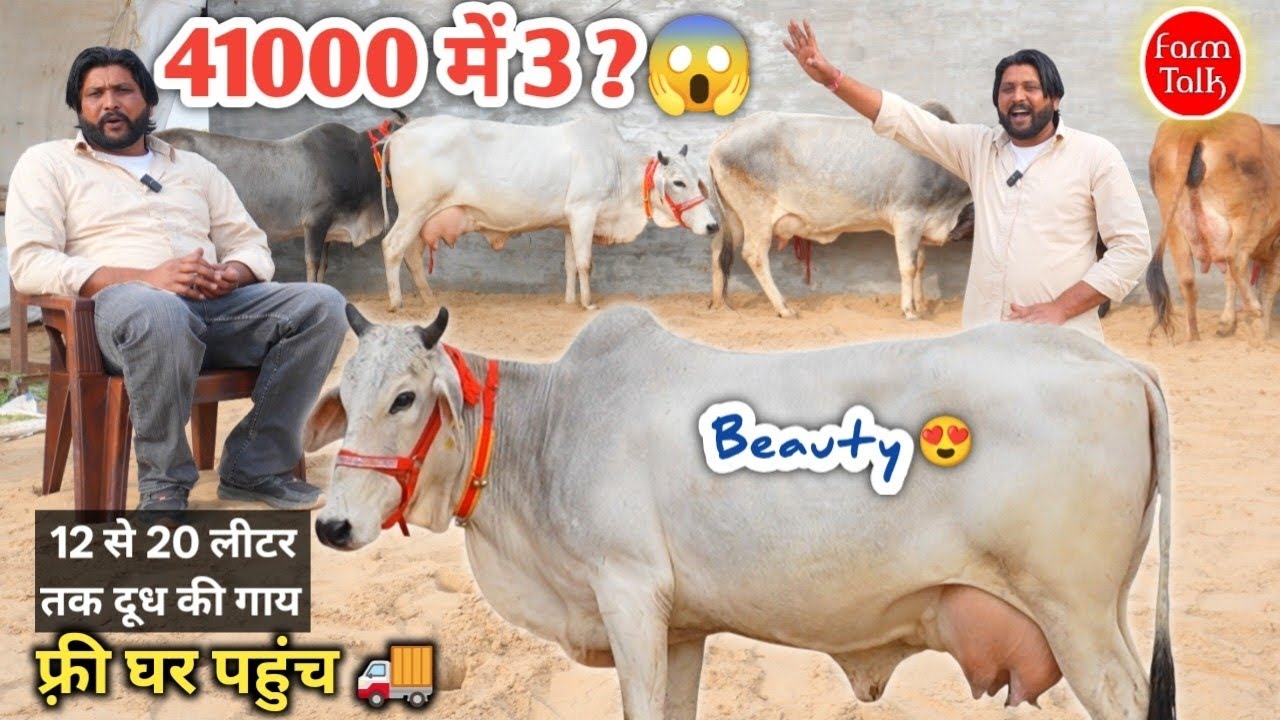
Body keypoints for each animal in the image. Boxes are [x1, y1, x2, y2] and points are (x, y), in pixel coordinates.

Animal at [306, 304, 1176, 720]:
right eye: (347, 394)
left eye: (405, 397)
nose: (332, 524)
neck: (554, 424)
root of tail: (1116, 363)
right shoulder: (681, 626)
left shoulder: (628, 596)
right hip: (1101, 612)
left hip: (1076, 616)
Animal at [377, 115, 719, 311]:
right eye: (678, 182)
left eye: (697, 178)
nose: (713, 225)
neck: (617, 166)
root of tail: (399, 133)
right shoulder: (584, 211)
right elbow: (585, 262)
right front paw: (587, 303)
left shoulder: (569, 223)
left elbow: (569, 264)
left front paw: (568, 301)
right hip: (414, 211)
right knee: (392, 247)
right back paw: (396, 303)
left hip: (423, 218)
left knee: (412, 255)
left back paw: (429, 299)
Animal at [708, 108, 973, 319]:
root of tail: (725, 134)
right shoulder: (907, 217)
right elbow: (908, 266)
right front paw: (909, 310)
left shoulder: (921, 226)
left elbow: (920, 265)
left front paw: (921, 306)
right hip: (757, 216)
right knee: (754, 255)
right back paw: (784, 308)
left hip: (734, 218)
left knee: (718, 249)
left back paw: (719, 305)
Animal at [1146, 112, 1280, 341]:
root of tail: (1196, 127)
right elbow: (1268, 284)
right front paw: (1262, 331)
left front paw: (1228, 323)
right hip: (1249, 217)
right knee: (1235, 258)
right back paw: (1254, 308)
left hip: (1174, 223)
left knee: (1188, 279)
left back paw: (1194, 339)